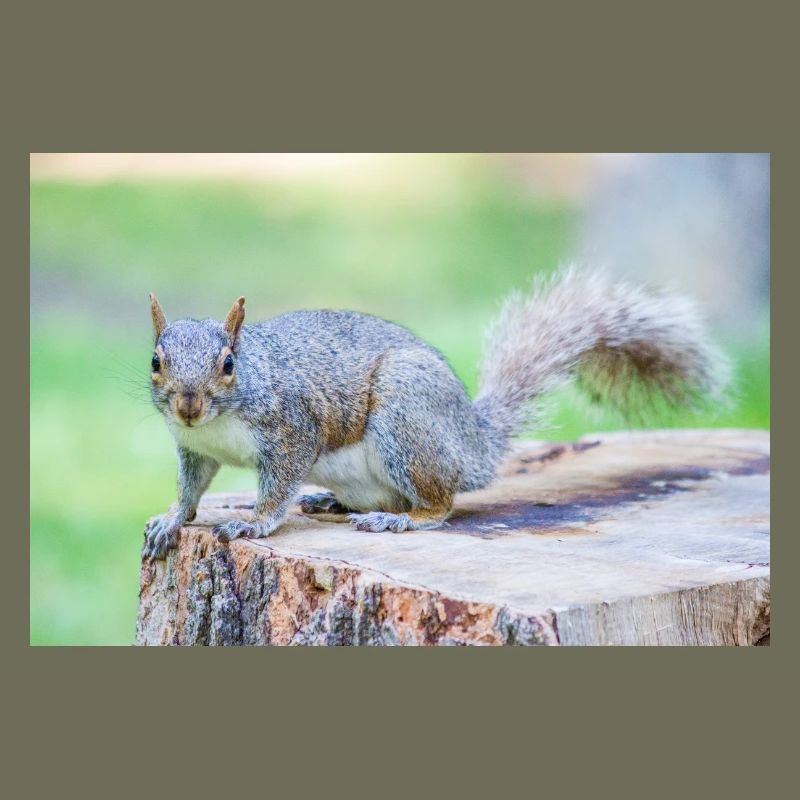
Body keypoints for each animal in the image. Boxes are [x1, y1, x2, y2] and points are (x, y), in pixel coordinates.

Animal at [143, 268, 729, 559]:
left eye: (228, 364)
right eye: (155, 360)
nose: (188, 405)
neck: (219, 423)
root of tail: (473, 443)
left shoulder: (293, 430)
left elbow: (277, 485)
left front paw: (253, 522)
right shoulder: (193, 449)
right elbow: (192, 489)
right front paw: (171, 519)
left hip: (407, 417)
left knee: (440, 504)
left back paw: (400, 518)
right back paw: (331, 501)